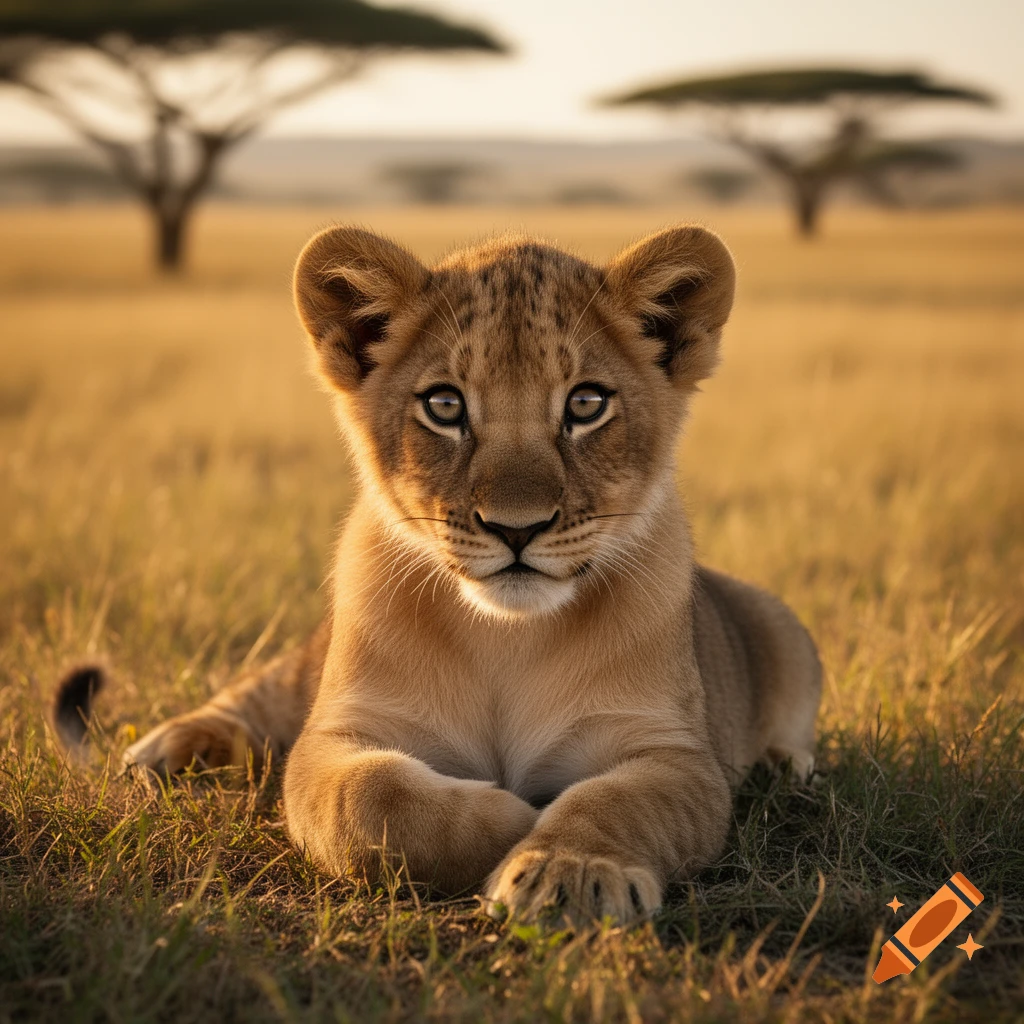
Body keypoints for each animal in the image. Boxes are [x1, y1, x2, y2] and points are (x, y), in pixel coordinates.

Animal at [56, 224, 821, 925]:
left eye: (585, 404)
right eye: (445, 406)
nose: (517, 527)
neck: (507, 636)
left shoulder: (674, 753)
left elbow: (616, 803)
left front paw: (568, 872)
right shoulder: (333, 740)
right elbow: (374, 800)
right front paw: (516, 820)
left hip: (785, 625)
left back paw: (786, 769)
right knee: (257, 695)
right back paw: (164, 749)